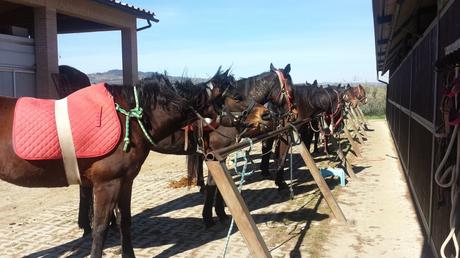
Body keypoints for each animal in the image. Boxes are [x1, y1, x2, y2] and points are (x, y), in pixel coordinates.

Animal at [0, 72, 266, 258]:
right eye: (237, 96)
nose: (266, 114)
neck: (131, 118)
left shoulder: (125, 181)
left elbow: (124, 222)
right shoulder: (106, 184)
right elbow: (100, 229)